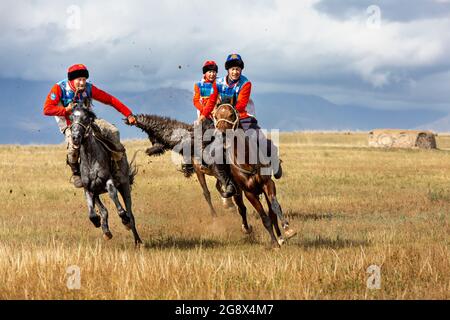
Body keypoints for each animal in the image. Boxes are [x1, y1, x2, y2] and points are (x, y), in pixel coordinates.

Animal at [214, 104, 298, 249]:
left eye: (231, 114)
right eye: (216, 116)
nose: (221, 135)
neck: (247, 160)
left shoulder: (268, 184)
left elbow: (275, 206)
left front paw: (287, 230)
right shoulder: (249, 193)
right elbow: (264, 218)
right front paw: (274, 243)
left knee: (271, 211)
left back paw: (280, 237)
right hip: (237, 191)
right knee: (242, 209)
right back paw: (247, 228)